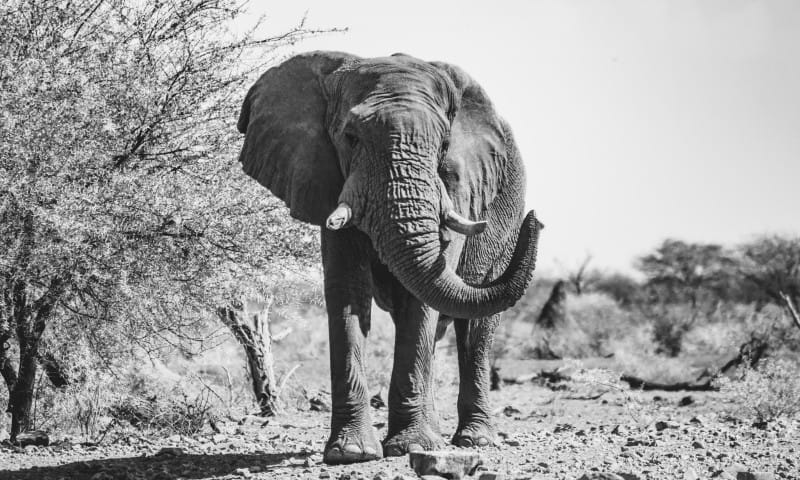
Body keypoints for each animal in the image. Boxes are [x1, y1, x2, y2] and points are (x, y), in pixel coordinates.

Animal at [234, 50, 540, 464]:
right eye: (350, 138)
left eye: (444, 145)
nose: (536, 220)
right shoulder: (328, 178)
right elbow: (347, 291)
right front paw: (351, 452)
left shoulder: (458, 185)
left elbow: (423, 296)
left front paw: (410, 447)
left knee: (475, 329)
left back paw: (473, 440)